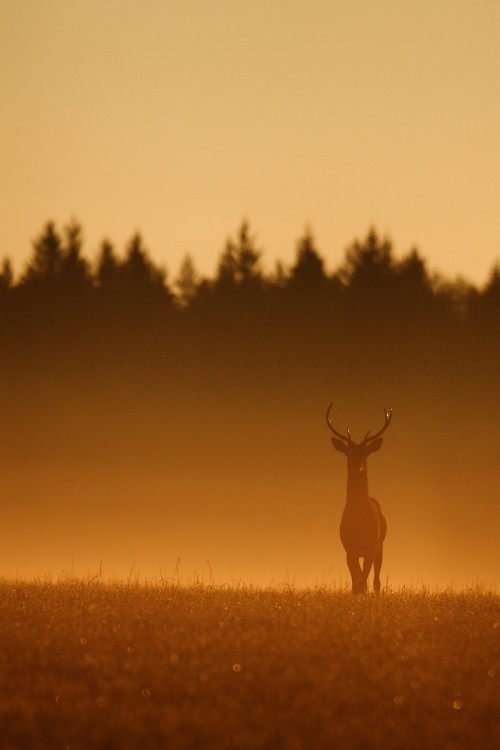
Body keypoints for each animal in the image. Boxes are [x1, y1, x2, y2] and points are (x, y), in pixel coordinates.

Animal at [326, 406, 392, 592]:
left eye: (366, 453)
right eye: (348, 453)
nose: (358, 464)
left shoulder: (370, 547)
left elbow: (364, 580)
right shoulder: (349, 549)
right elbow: (356, 582)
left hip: (380, 547)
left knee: (376, 581)